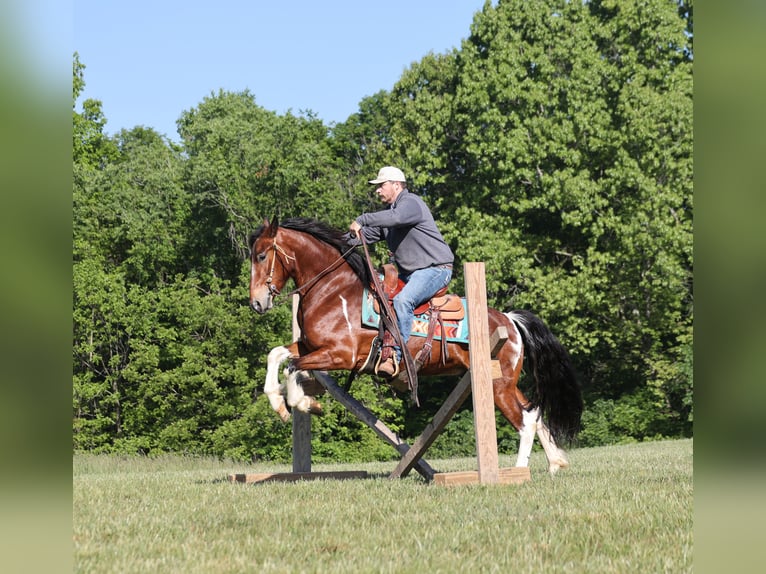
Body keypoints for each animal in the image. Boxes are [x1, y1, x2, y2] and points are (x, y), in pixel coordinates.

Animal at [248, 217, 583, 474]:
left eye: (262, 256)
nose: (256, 303)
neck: (333, 291)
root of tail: (510, 321)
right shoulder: (309, 347)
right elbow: (276, 355)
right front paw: (278, 401)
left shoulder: (340, 355)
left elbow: (293, 369)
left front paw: (303, 403)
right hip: (506, 382)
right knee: (534, 413)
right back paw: (555, 463)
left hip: (497, 384)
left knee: (524, 422)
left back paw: (518, 471)